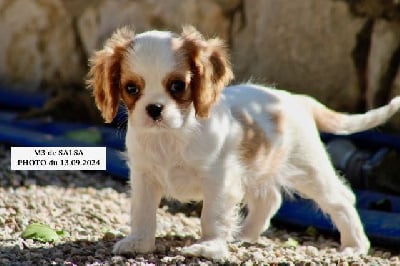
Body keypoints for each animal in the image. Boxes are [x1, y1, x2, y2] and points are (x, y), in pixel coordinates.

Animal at [87, 26, 400, 258]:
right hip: (257, 168)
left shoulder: (219, 179)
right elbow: (142, 212)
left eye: (177, 86)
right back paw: (244, 235)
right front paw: (138, 243)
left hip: (307, 168)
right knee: (269, 199)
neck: (171, 136)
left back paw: (355, 246)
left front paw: (209, 247)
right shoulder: (144, 176)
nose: (154, 109)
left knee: (341, 199)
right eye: (131, 88)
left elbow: (212, 216)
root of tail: (298, 99)